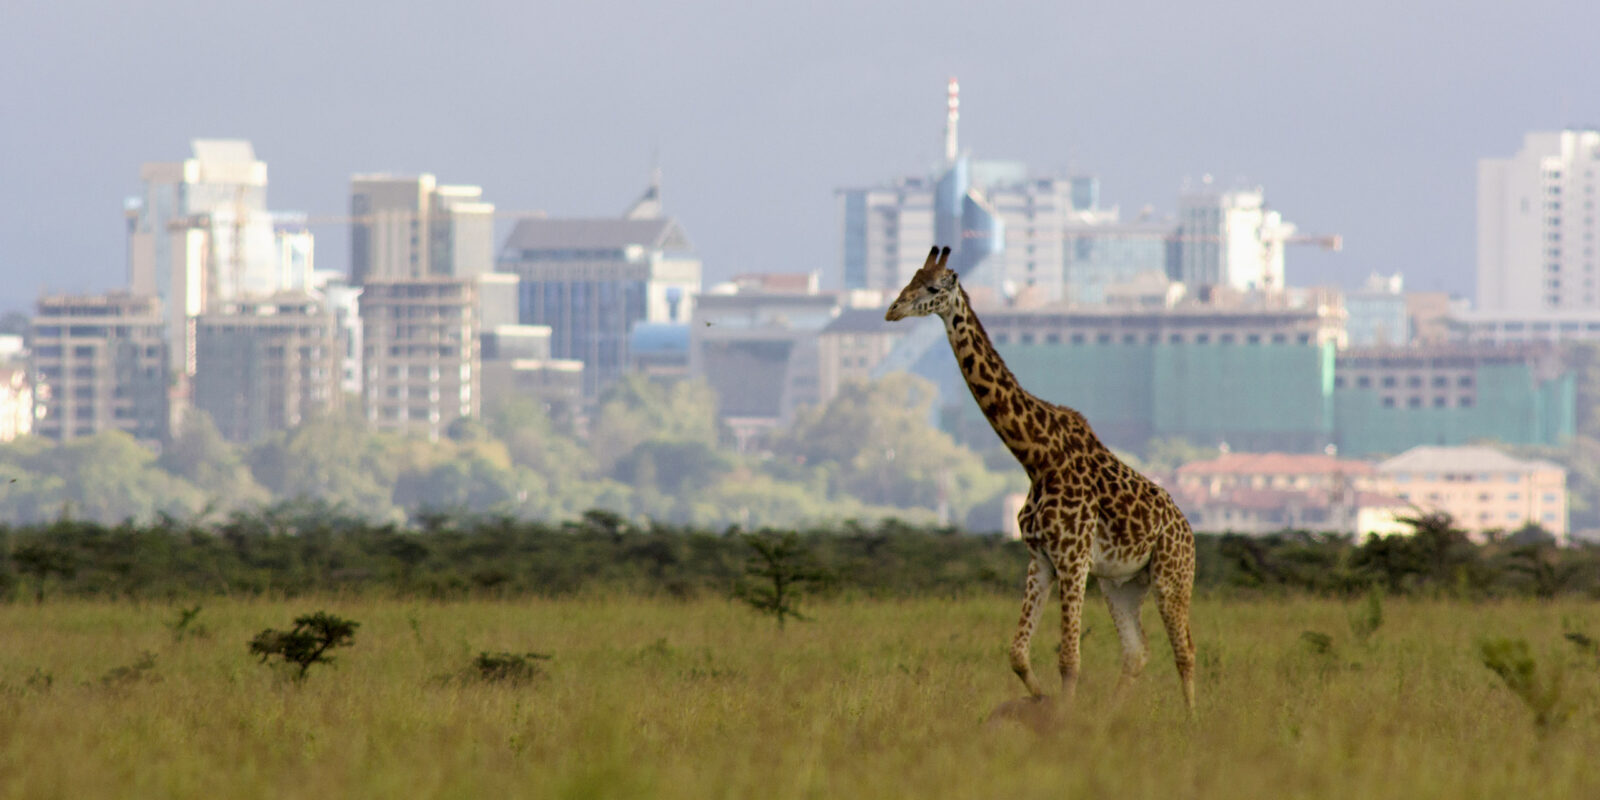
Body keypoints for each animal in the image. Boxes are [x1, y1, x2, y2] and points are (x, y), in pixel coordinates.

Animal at [883, 244, 1196, 713]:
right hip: (1120, 584)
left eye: (934, 287)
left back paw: (1193, 722)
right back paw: (1110, 717)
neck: (1036, 457)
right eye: (911, 278)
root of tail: (1188, 531)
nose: (892, 309)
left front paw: (1062, 718)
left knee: (1185, 651)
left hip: (1171, 576)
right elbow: (1018, 653)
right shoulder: (1041, 560)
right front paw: (1044, 703)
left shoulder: (1073, 558)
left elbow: (1069, 658)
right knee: (1137, 653)